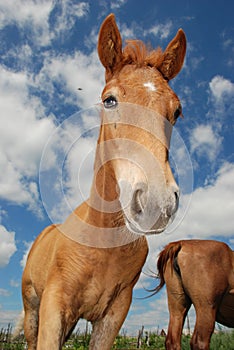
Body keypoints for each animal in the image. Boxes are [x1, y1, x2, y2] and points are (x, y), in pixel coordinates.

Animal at [18, 13, 186, 350]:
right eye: (110, 100)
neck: (103, 242)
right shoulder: (54, 305)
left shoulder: (114, 315)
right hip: (32, 310)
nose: (156, 202)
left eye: (177, 111)